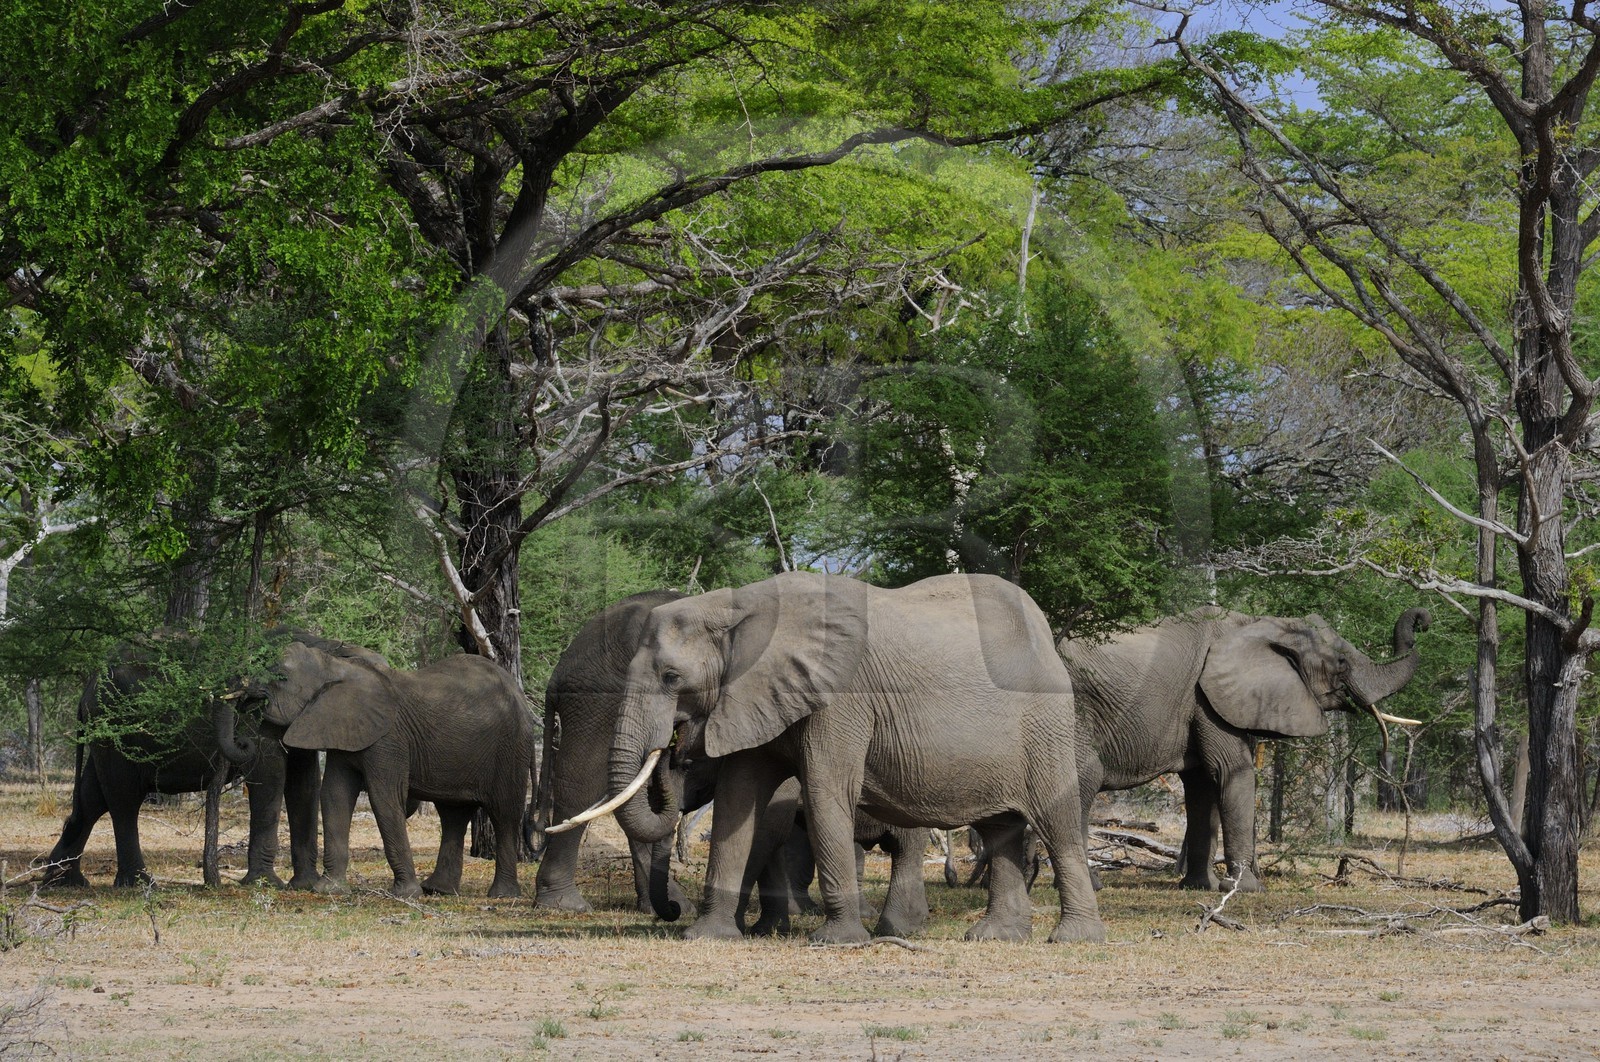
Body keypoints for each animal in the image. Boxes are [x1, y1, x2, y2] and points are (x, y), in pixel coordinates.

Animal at [249, 641, 535, 899]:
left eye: (281, 678)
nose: (251, 696)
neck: (336, 667)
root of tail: (520, 695)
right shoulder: (346, 731)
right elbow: (334, 795)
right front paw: (328, 890)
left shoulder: (388, 739)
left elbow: (384, 798)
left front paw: (406, 895)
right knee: (453, 814)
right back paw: (439, 890)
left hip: (511, 748)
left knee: (504, 814)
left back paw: (501, 895)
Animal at [536, 590, 928, 937]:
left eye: (688, 764)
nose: (672, 746)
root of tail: (561, 669)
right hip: (594, 699)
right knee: (582, 784)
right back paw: (571, 905)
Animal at [591, 570, 1103, 944]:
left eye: (671, 677)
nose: (672, 744)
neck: (737, 605)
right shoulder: (754, 693)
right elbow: (738, 804)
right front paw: (707, 937)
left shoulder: (841, 700)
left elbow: (823, 792)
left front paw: (835, 941)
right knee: (1000, 829)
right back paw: (994, 937)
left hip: (1047, 722)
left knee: (1055, 822)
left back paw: (1073, 938)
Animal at [1059, 606, 1429, 892]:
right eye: (1340, 662)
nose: (1422, 622)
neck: (1259, 623)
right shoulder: (1207, 699)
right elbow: (1231, 772)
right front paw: (1246, 889)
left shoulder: (1209, 702)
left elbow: (1202, 786)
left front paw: (1200, 887)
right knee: (1084, 780)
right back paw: (1091, 884)